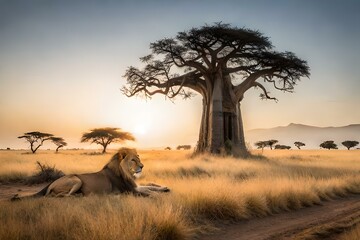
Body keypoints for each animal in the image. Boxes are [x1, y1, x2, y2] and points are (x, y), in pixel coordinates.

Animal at [11, 147, 169, 200]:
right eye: (133, 160)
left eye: (139, 158)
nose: (142, 166)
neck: (126, 173)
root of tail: (50, 183)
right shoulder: (130, 191)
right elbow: (147, 191)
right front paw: (159, 196)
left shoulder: (134, 187)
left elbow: (150, 186)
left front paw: (164, 188)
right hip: (76, 179)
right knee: (56, 196)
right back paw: (79, 196)